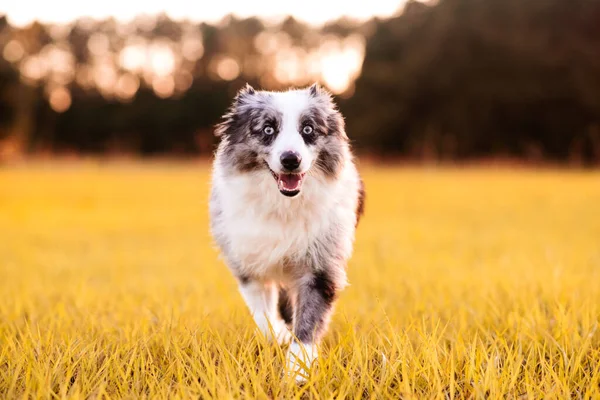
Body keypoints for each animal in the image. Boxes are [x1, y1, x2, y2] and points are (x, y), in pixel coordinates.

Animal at [209, 83, 364, 382]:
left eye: (308, 129)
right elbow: (263, 314)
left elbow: (308, 322)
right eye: (268, 129)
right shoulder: (249, 262)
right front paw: (278, 336)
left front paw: (297, 373)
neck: (284, 204)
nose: (291, 159)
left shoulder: (321, 266)